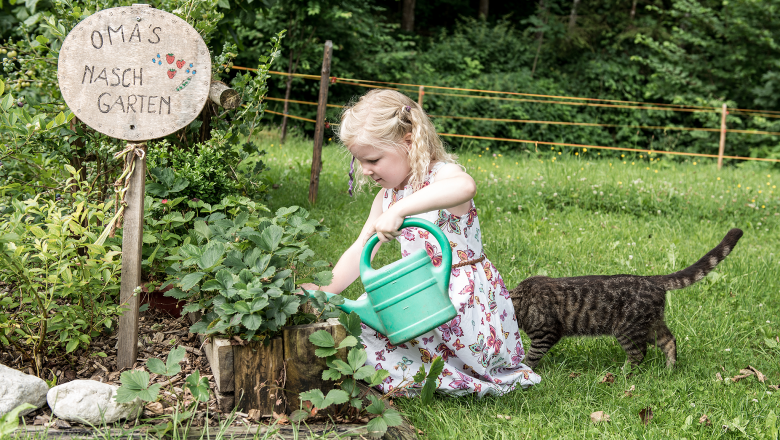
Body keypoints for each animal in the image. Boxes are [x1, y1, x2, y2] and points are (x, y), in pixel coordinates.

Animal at [512, 229, 744, 370]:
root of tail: (651, 279)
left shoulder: (546, 333)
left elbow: (532, 355)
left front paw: (524, 369)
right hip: (651, 326)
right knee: (669, 341)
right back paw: (670, 368)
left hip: (628, 331)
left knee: (639, 354)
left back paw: (623, 373)